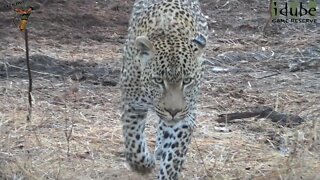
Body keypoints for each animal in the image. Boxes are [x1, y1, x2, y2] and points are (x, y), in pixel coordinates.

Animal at [119, 0, 208, 179]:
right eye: (158, 81)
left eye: (187, 81)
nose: (173, 111)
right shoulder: (132, 103)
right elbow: (134, 142)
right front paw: (144, 166)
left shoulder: (186, 115)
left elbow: (173, 159)